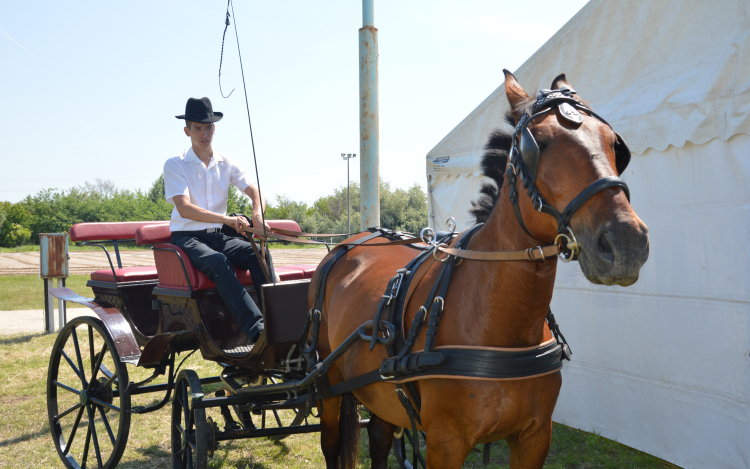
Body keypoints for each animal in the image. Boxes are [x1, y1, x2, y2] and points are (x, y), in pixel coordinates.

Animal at [312, 70, 652, 468]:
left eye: (615, 145)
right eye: (540, 144)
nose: (627, 243)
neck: (499, 324)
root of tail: (351, 241)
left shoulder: (535, 437)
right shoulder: (444, 443)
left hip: (380, 393)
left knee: (380, 438)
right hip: (327, 383)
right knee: (331, 442)